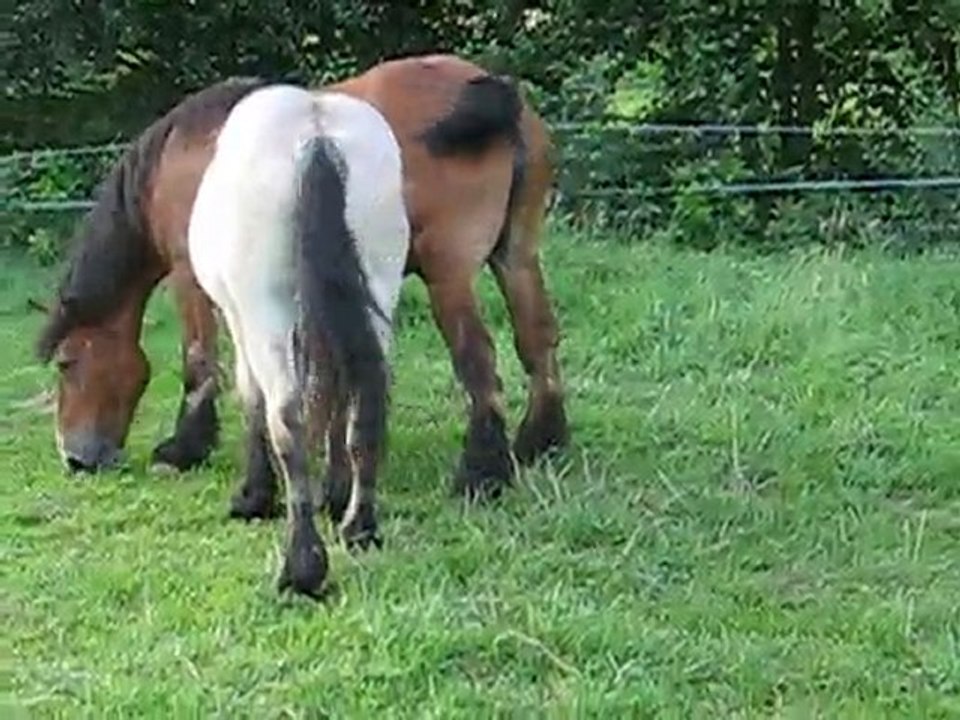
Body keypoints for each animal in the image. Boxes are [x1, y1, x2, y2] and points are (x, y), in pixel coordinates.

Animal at [35, 54, 569, 517]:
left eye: (67, 363)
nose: (75, 458)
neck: (177, 159)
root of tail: (490, 89)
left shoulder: (191, 279)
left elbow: (200, 362)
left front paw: (186, 448)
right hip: (515, 257)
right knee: (536, 338)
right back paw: (539, 442)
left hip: (449, 275)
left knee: (479, 363)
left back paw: (481, 474)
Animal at [187, 83, 409, 597]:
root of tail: (317, 134)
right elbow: (333, 399)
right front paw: (336, 492)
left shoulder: (238, 320)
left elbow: (251, 399)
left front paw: (253, 496)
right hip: (379, 293)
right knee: (366, 406)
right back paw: (358, 526)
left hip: (267, 314)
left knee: (287, 417)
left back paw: (302, 567)